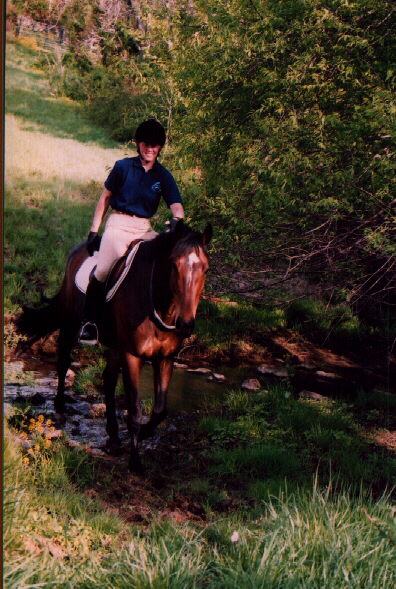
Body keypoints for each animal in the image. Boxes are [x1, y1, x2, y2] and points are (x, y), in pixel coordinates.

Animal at [16, 220, 212, 474]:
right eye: (174, 265)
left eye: (205, 269)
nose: (185, 324)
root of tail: (78, 250)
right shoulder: (132, 355)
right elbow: (135, 411)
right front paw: (135, 462)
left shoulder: (165, 358)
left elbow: (160, 410)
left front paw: (143, 434)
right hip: (70, 325)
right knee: (63, 363)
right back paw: (59, 407)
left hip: (115, 346)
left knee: (108, 380)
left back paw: (114, 437)